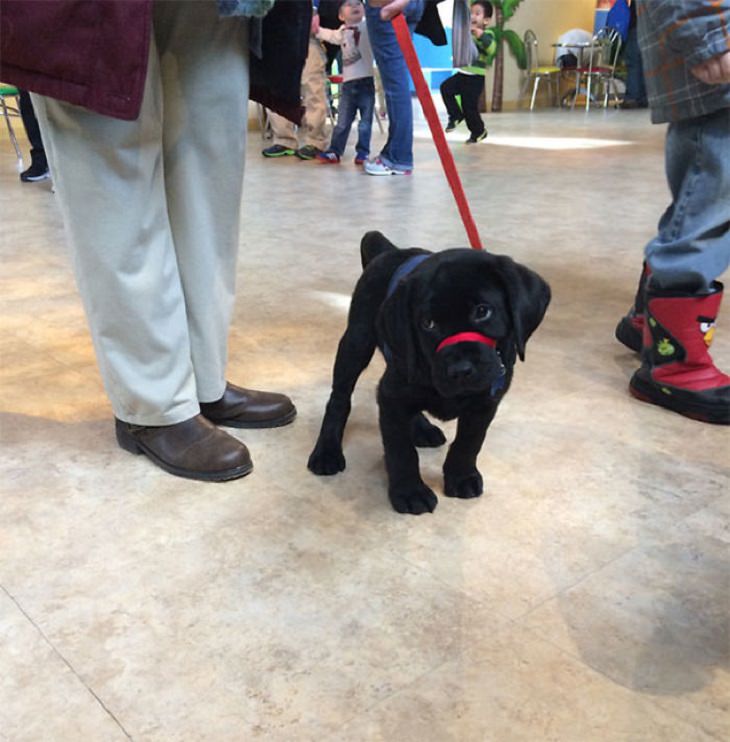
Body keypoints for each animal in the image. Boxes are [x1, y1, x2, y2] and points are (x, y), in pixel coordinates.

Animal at [304, 232, 548, 516]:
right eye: (427, 323)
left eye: (483, 311)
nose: (460, 370)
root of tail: (391, 251)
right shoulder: (391, 395)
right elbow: (401, 450)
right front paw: (410, 492)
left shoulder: (487, 400)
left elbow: (469, 441)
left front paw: (461, 476)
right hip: (356, 342)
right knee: (339, 400)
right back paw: (327, 451)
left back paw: (422, 428)